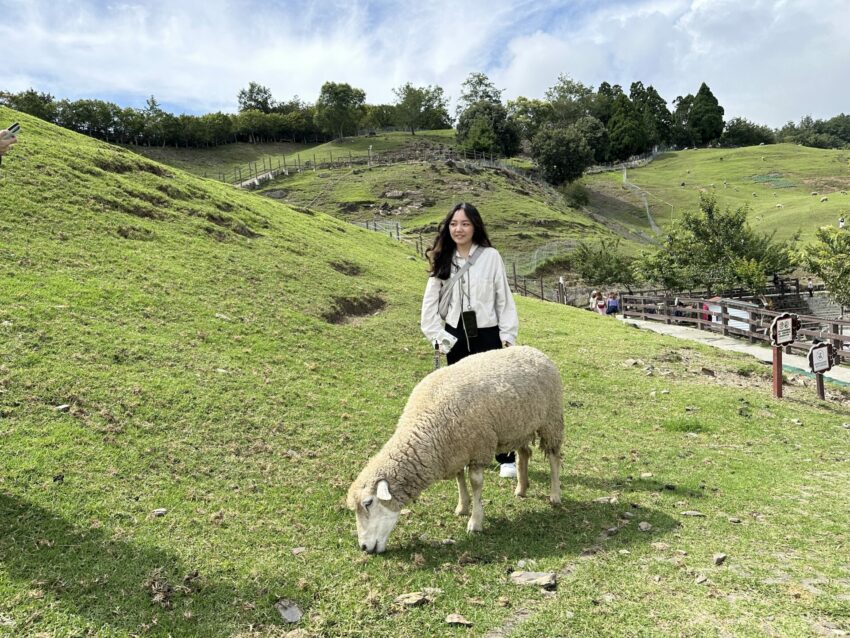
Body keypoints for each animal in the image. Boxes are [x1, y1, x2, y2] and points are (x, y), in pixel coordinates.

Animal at [344, 344, 564, 556]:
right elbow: (459, 480)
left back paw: (555, 495)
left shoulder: (478, 449)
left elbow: (475, 484)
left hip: (551, 420)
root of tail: (534, 350)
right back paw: (521, 488)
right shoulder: (455, 452)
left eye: (368, 503)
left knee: (554, 457)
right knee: (524, 454)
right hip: (520, 426)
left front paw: (475, 521)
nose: (363, 547)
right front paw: (462, 507)